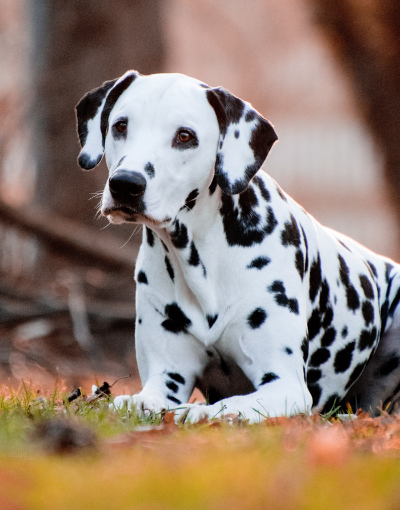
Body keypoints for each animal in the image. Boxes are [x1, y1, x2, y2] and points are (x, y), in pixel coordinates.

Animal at [76, 70, 400, 422]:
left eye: (185, 136)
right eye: (120, 126)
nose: (126, 184)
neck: (200, 258)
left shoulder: (286, 385)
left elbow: (230, 405)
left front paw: (200, 412)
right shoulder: (166, 378)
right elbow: (141, 399)